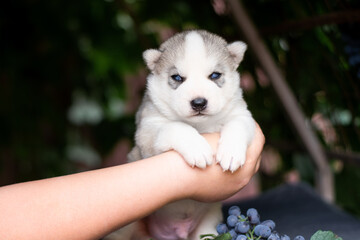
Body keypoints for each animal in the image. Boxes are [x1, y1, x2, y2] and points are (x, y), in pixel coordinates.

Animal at [105, 30, 256, 240]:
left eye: (215, 75)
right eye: (177, 78)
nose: (199, 102)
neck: (199, 125)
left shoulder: (242, 115)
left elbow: (237, 125)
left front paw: (231, 153)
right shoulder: (148, 129)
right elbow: (176, 126)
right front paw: (197, 148)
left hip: (208, 221)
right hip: (127, 225)